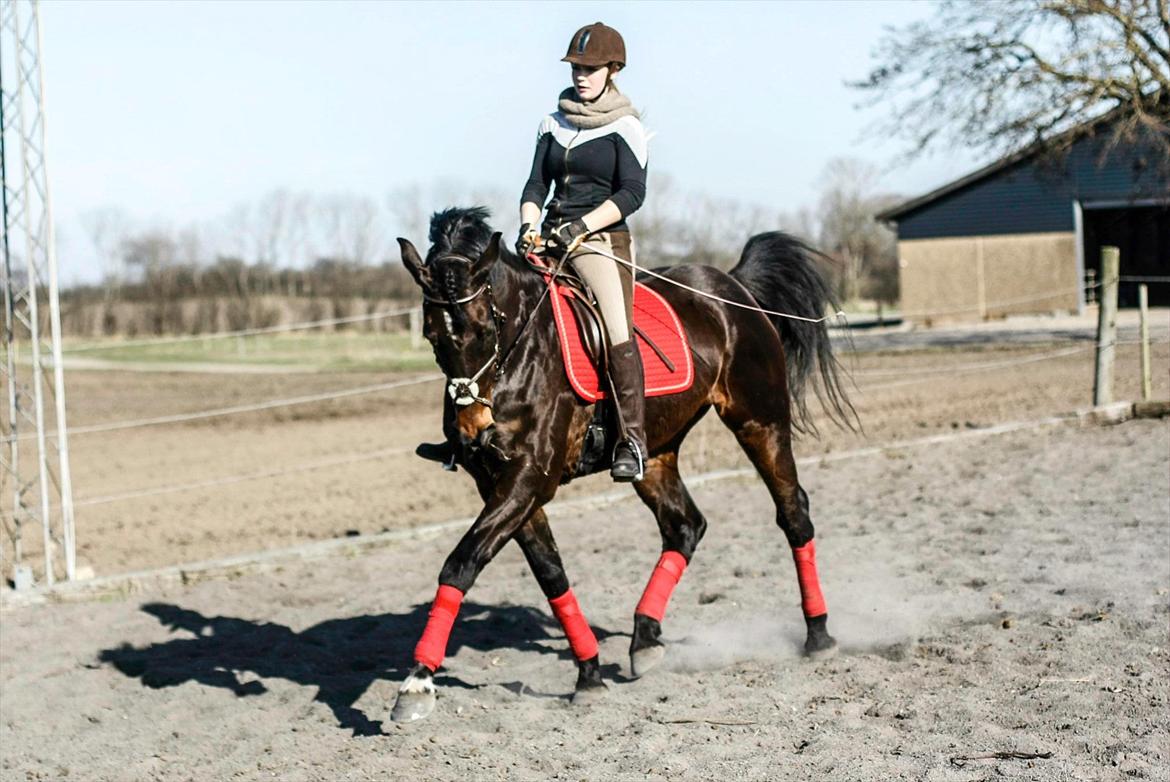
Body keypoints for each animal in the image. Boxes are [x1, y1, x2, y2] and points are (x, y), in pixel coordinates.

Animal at [390, 206, 851, 721]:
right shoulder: (498, 484)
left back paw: (819, 636)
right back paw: (645, 639)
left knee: (793, 513)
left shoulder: (529, 478)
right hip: (655, 452)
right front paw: (589, 674)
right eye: (431, 335)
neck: (517, 355)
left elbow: (461, 563)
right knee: (684, 526)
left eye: (486, 329)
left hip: (760, 422)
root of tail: (732, 287)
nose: (473, 426)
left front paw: (416, 682)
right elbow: (550, 574)